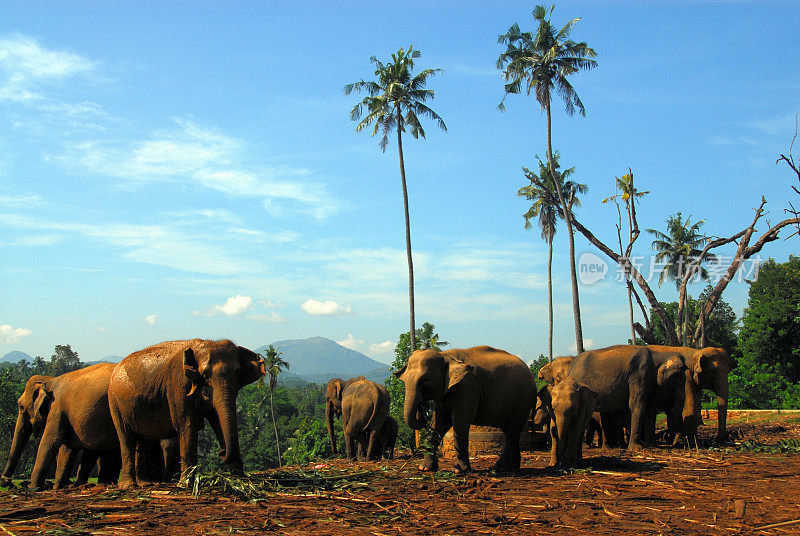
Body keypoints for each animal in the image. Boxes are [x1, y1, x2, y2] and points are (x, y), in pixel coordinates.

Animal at [106, 342, 260, 488]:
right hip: (114, 403)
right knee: (126, 439)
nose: (221, 452)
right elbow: (186, 424)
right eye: (205, 375)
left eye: (238, 373)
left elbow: (217, 423)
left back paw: (144, 484)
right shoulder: (178, 386)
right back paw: (128, 486)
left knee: (142, 440)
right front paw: (185, 484)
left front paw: (242, 482)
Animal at [396, 346, 536, 472]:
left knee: (512, 431)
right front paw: (424, 468)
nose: (423, 408)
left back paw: (500, 468)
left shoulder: (468, 387)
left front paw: (459, 470)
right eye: (404, 381)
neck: (445, 356)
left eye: (425, 381)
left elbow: (459, 423)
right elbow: (439, 423)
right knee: (511, 432)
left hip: (523, 401)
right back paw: (511, 467)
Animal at [564, 346, 696, 450]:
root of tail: (571, 367)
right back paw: (585, 446)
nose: (668, 439)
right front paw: (636, 448)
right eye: (677, 380)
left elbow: (650, 409)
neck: (658, 354)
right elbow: (637, 405)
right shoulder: (639, 374)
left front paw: (652, 446)